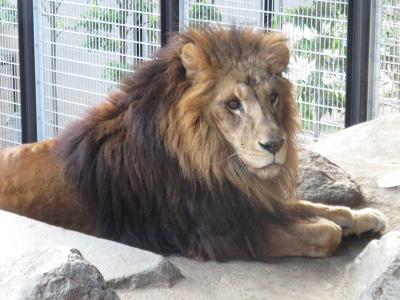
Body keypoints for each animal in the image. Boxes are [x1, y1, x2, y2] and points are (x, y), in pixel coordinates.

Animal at [0, 27, 388, 258]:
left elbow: (320, 208)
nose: (275, 145)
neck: (218, 162)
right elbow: (325, 232)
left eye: (273, 97)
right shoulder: (221, 234)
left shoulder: (247, 199)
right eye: (233, 104)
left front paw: (365, 217)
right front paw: (333, 228)